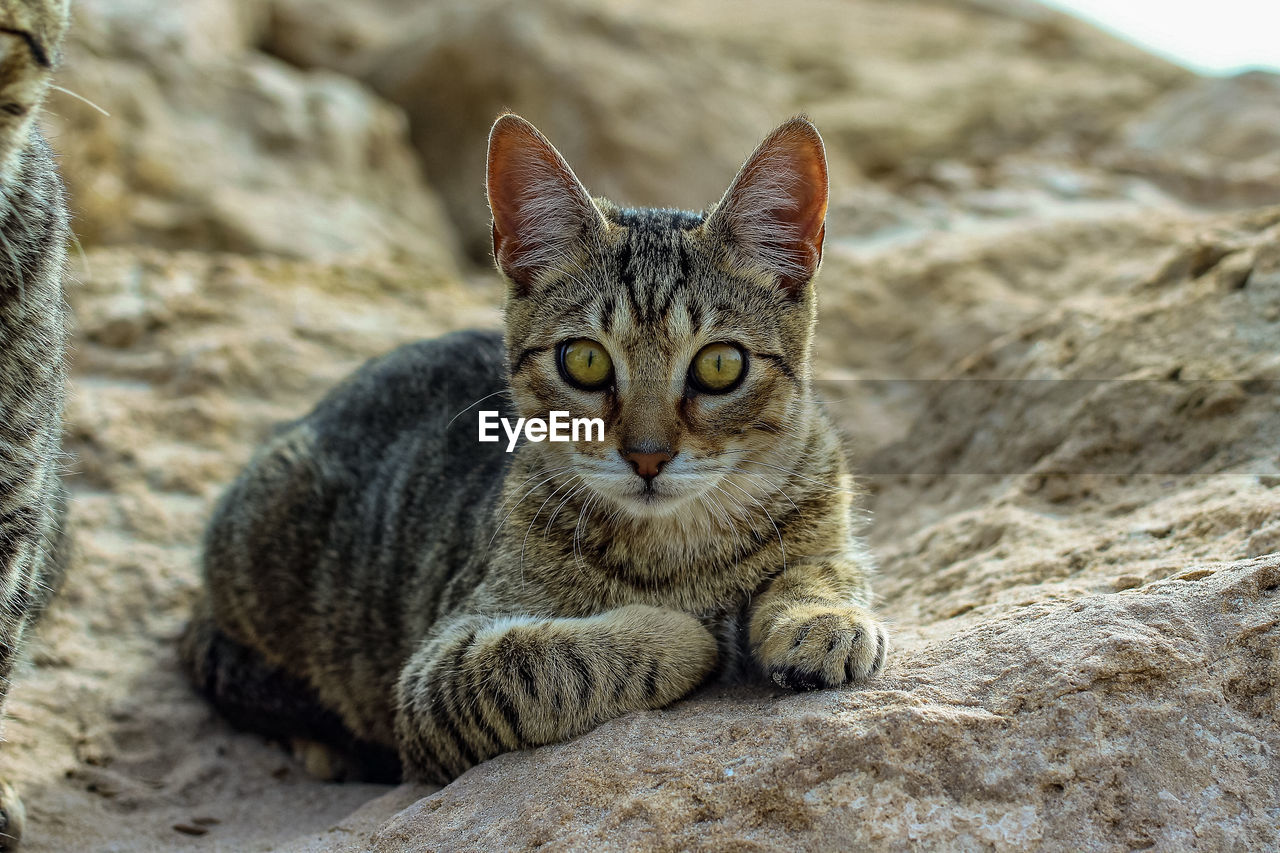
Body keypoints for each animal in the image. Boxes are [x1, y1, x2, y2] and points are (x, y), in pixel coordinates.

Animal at [180, 112, 885, 783]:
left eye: (719, 365)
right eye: (585, 361)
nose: (647, 456)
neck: (680, 550)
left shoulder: (829, 509)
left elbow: (827, 567)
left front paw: (820, 619)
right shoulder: (436, 675)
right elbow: (547, 663)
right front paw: (683, 633)